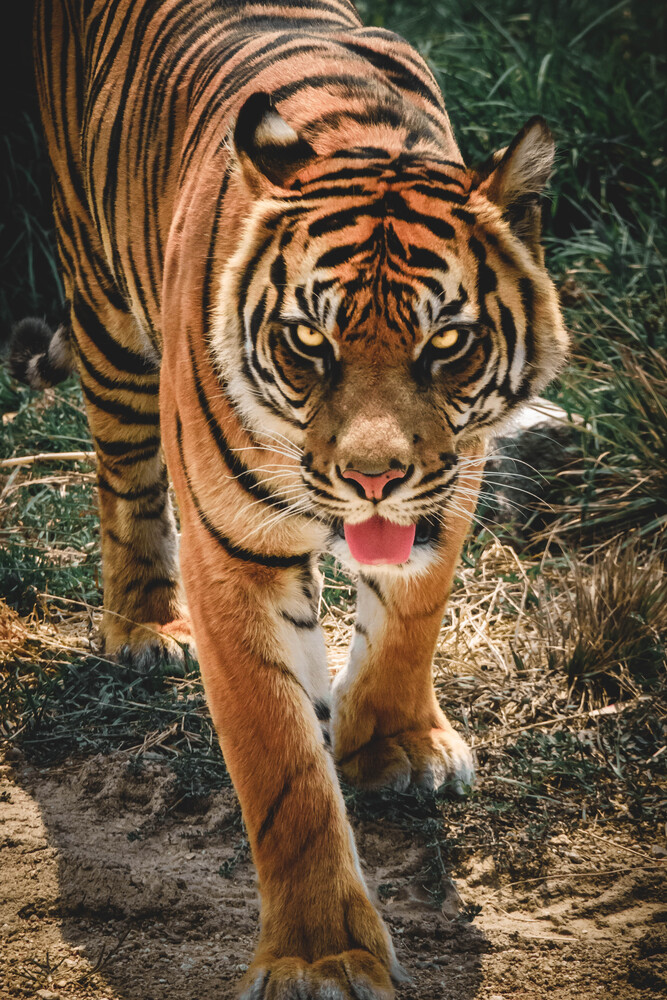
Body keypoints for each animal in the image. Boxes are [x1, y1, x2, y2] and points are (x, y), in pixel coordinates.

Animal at [9, 0, 568, 995]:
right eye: (311, 341)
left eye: (447, 343)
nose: (373, 478)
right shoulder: (233, 550)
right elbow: (281, 765)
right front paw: (322, 956)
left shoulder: (450, 484)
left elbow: (410, 618)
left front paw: (394, 745)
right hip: (108, 326)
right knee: (125, 483)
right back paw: (148, 627)